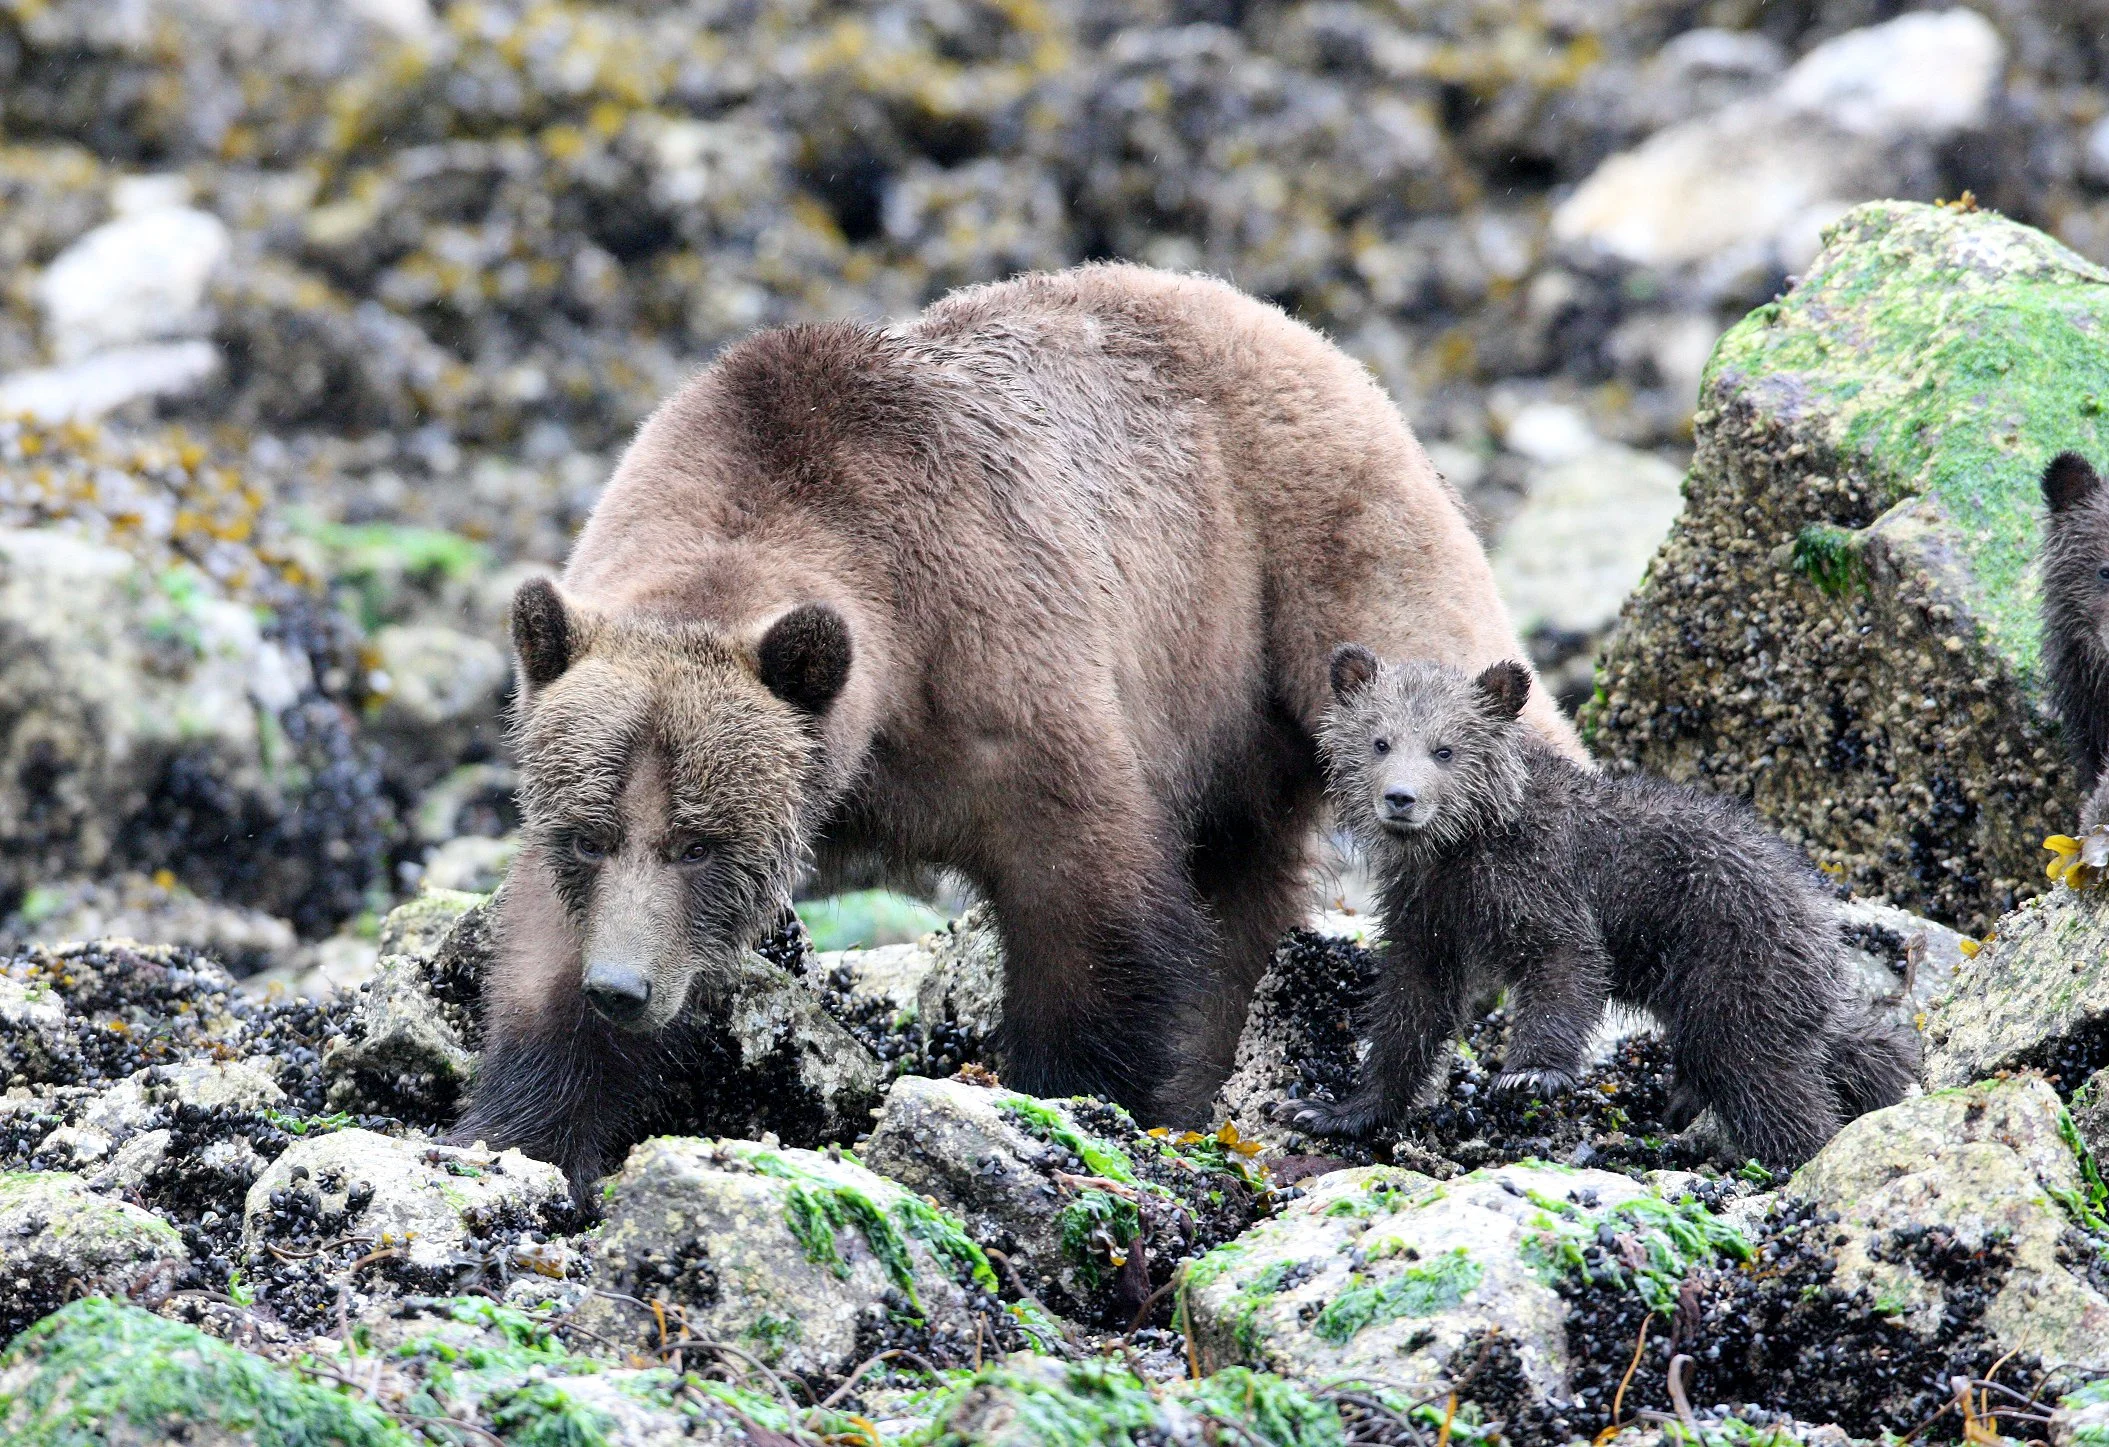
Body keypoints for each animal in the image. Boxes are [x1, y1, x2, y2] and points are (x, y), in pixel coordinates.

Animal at [450, 263, 1584, 1193]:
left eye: (701, 843)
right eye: (590, 834)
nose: (625, 988)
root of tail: (1285, 321)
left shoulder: (996, 666)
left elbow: (1089, 901)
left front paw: (1070, 1101)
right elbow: (541, 954)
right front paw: (523, 1129)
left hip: (1316, 560)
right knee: (1242, 876)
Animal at [1284, 649, 1918, 1168]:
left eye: (1445, 750)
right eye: (1380, 741)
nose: (1401, 798)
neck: (1464, 844)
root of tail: (1819, 910)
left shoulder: (1539, 878)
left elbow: (1567, 961)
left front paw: (1528, 1073)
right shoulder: (1429, 908)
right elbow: (1412, 1004)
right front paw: (1336, 1111)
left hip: (1737, 954)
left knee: (1760, 1069)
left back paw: (1799, 1152)